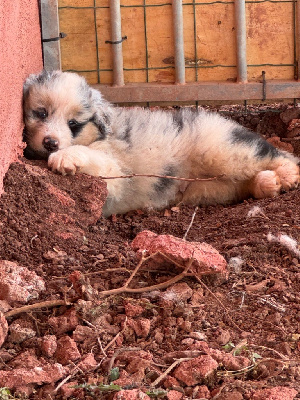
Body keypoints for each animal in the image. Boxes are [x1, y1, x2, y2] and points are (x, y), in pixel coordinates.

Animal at [23, 70, 300, 217]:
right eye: (41, 113)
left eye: (73, 124)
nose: (51, 143)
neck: (100, 135)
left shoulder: (115, 170)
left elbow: (91, 156)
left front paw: (65, 157)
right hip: (213, 188)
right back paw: (267, 184)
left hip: (225, 149)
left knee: (280, 156)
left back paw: (286, 176)